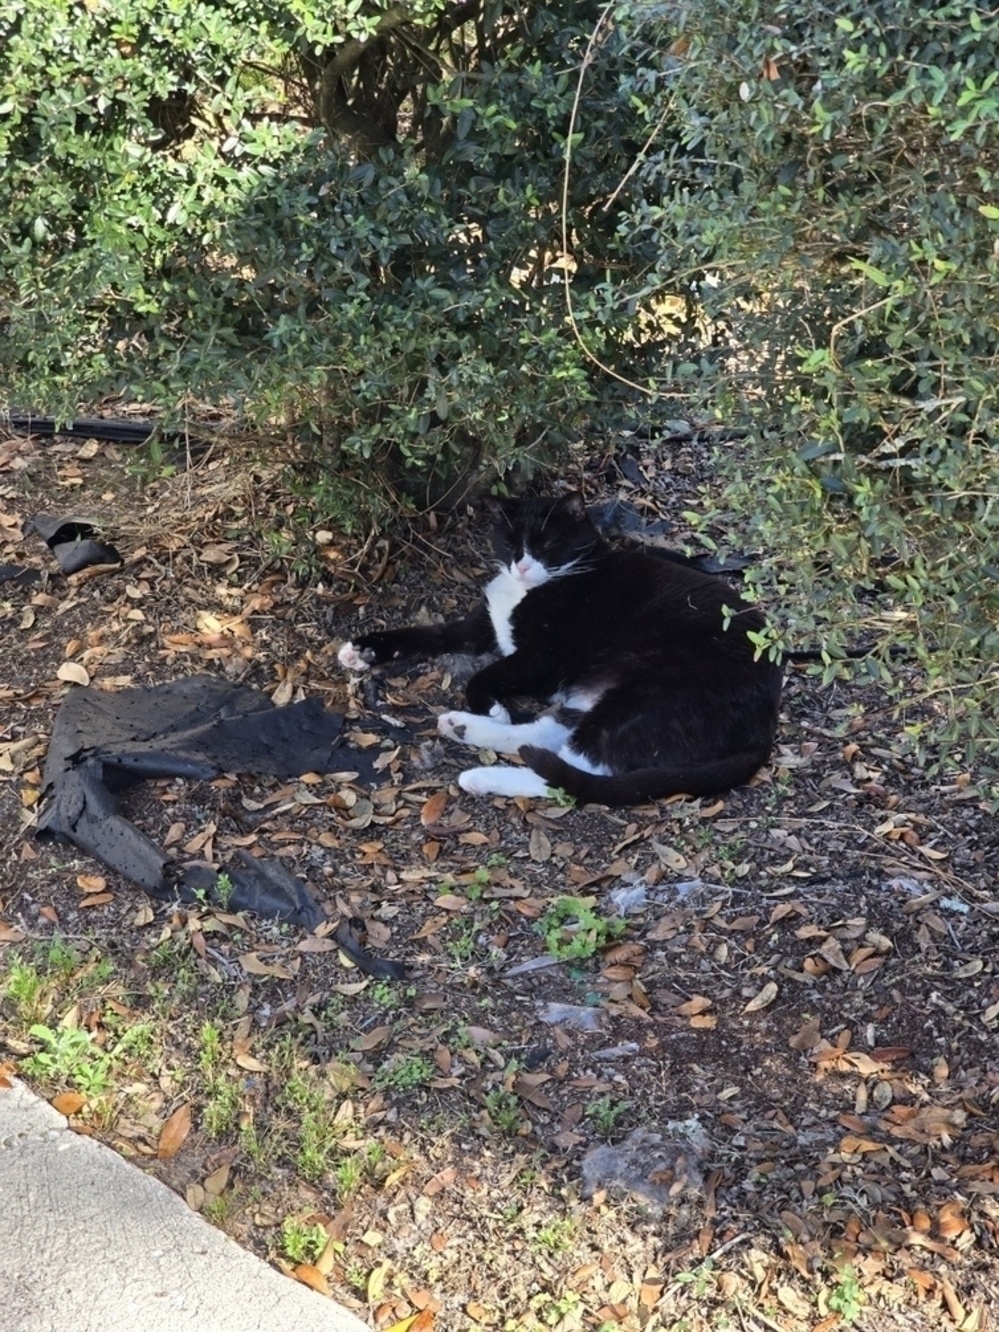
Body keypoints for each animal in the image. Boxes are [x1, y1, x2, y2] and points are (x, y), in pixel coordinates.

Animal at [340, 495, 788, 804]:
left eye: (547, 544)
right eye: (510, 543)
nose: (521, 565)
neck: (527, 589)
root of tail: (765, 722)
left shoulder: (543, 659)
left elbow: (486, 675)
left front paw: (492, 706)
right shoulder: (478, 627)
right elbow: (427, 634)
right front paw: (363, 650)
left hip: (649, 691)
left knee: (574, 770)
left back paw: (481, 774)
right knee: (550, 735)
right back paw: (463, 727)